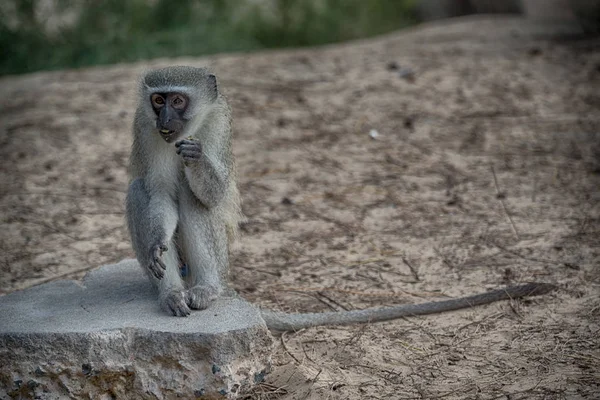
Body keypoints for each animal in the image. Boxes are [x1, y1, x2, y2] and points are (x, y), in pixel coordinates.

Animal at [124, 65, 556, 328]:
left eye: (178, 100)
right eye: (158, 101)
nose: (166, 121)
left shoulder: (217, 122)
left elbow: (212, 192)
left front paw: (196, 158)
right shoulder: (144, 128)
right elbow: (156, 192)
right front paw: (158, 244)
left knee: (191, 196)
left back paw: (207, 289)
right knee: (138, 190)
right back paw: (172, 294)